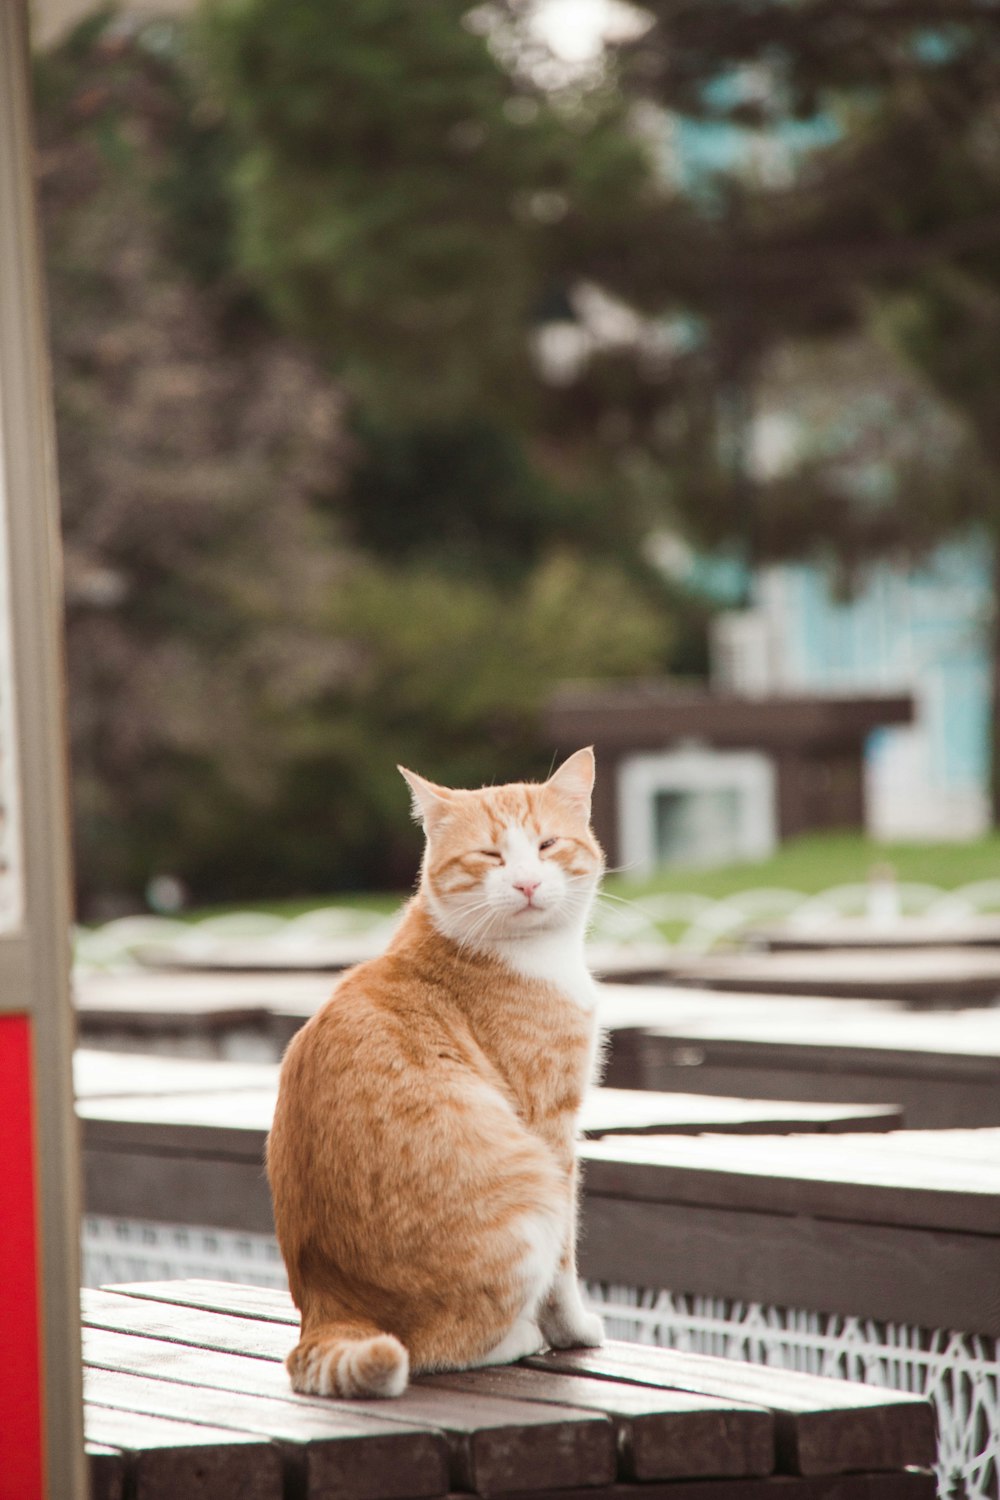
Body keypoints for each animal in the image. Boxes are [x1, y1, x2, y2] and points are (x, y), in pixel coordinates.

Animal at [265, 756, 605, 1398]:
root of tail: (326, 1307)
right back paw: (518, 1338)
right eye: (490, 855)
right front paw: (574, 1330)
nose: (527, 884)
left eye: (547, 845)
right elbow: (566, 1267)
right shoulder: (553, 1128)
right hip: (532, 1193)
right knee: (440, 1349)